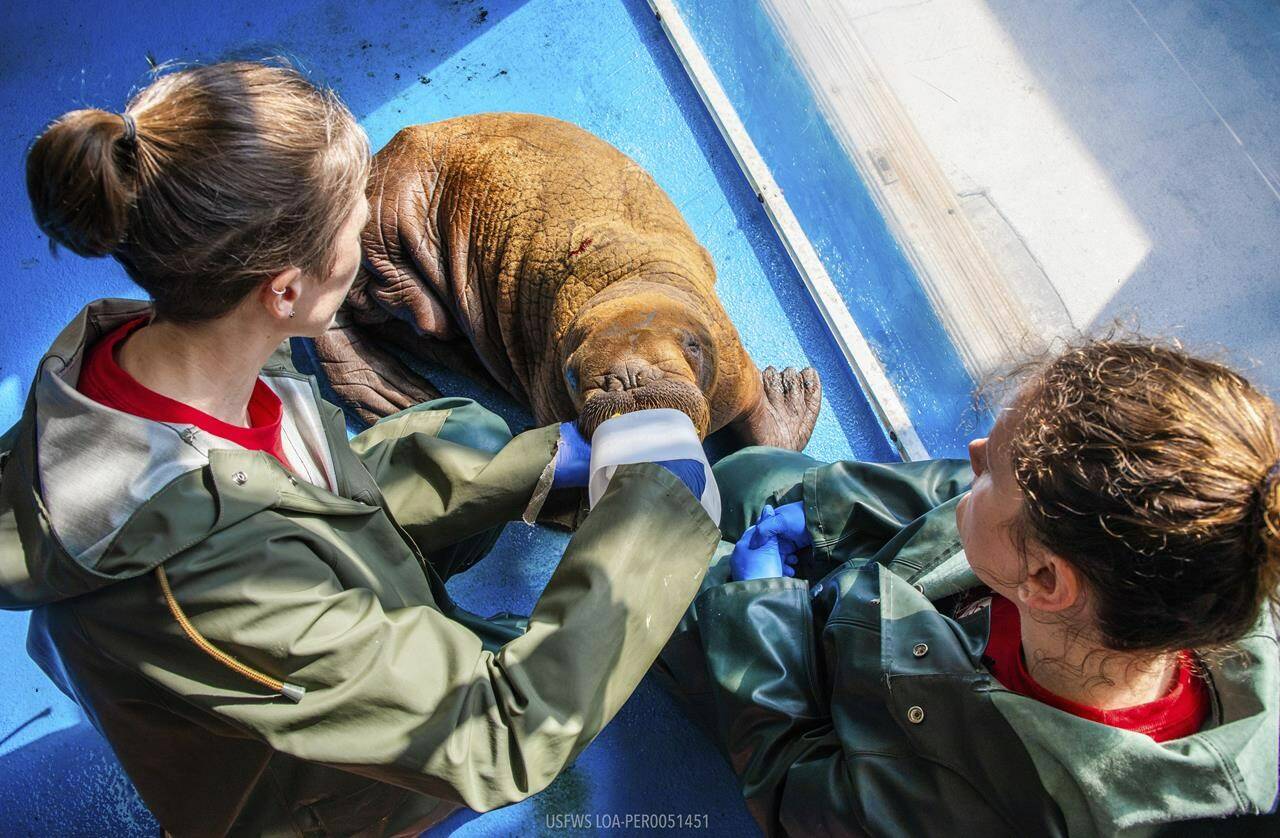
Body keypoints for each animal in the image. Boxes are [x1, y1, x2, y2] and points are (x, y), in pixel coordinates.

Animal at [314, 116, 824, 452]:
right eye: (573, 373)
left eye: (691, 346)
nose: (627, 376)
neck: (624, 277)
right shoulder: (551, 399)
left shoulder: (731, 365)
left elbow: (763, 426)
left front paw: (790, 393)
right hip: (383, 212)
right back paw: (400, 386)